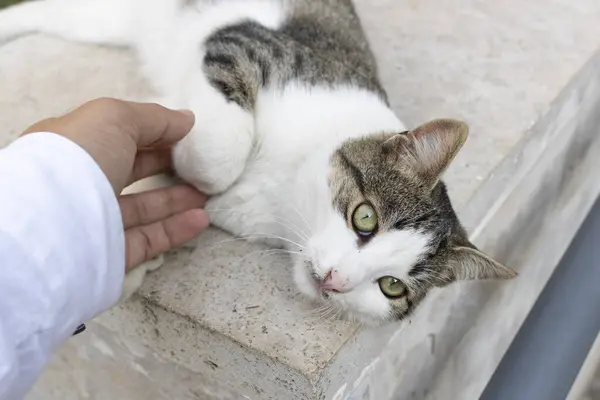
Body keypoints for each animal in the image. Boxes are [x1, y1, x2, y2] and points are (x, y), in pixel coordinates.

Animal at [0, 0, 516, 324]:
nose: (336, 281)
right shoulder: (246, 44)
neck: (283, 194)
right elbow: (219, 153)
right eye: (364, 217)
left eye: (392, 286)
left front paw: (125, 262)